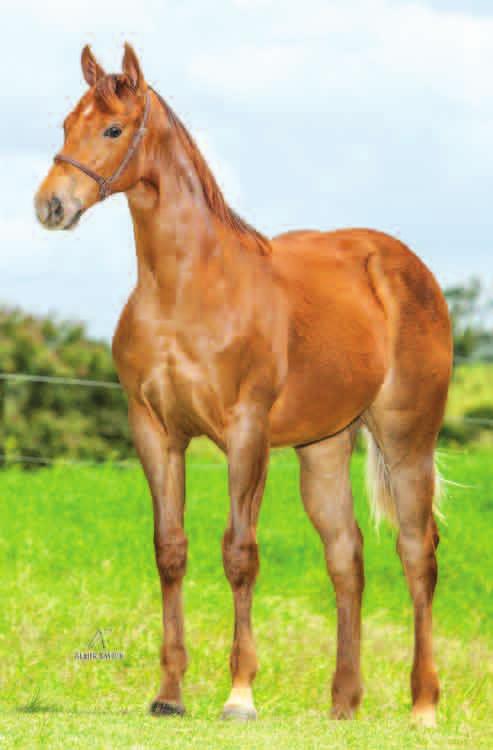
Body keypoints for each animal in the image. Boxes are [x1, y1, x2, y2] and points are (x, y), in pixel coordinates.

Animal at [34, 45, 450, 728]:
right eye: (68, 123)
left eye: (113, 129)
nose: (51, 207)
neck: (189, 286)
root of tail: (403, 266)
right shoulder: (155, 431)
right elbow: (170, 550)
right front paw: (169, 694)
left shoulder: (245, 432)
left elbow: (239, 553)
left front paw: (239, 696)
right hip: (324, 447)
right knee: (347, 556)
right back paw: (343, 703)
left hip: (406, 439)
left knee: (417, 553)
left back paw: (422, 706)